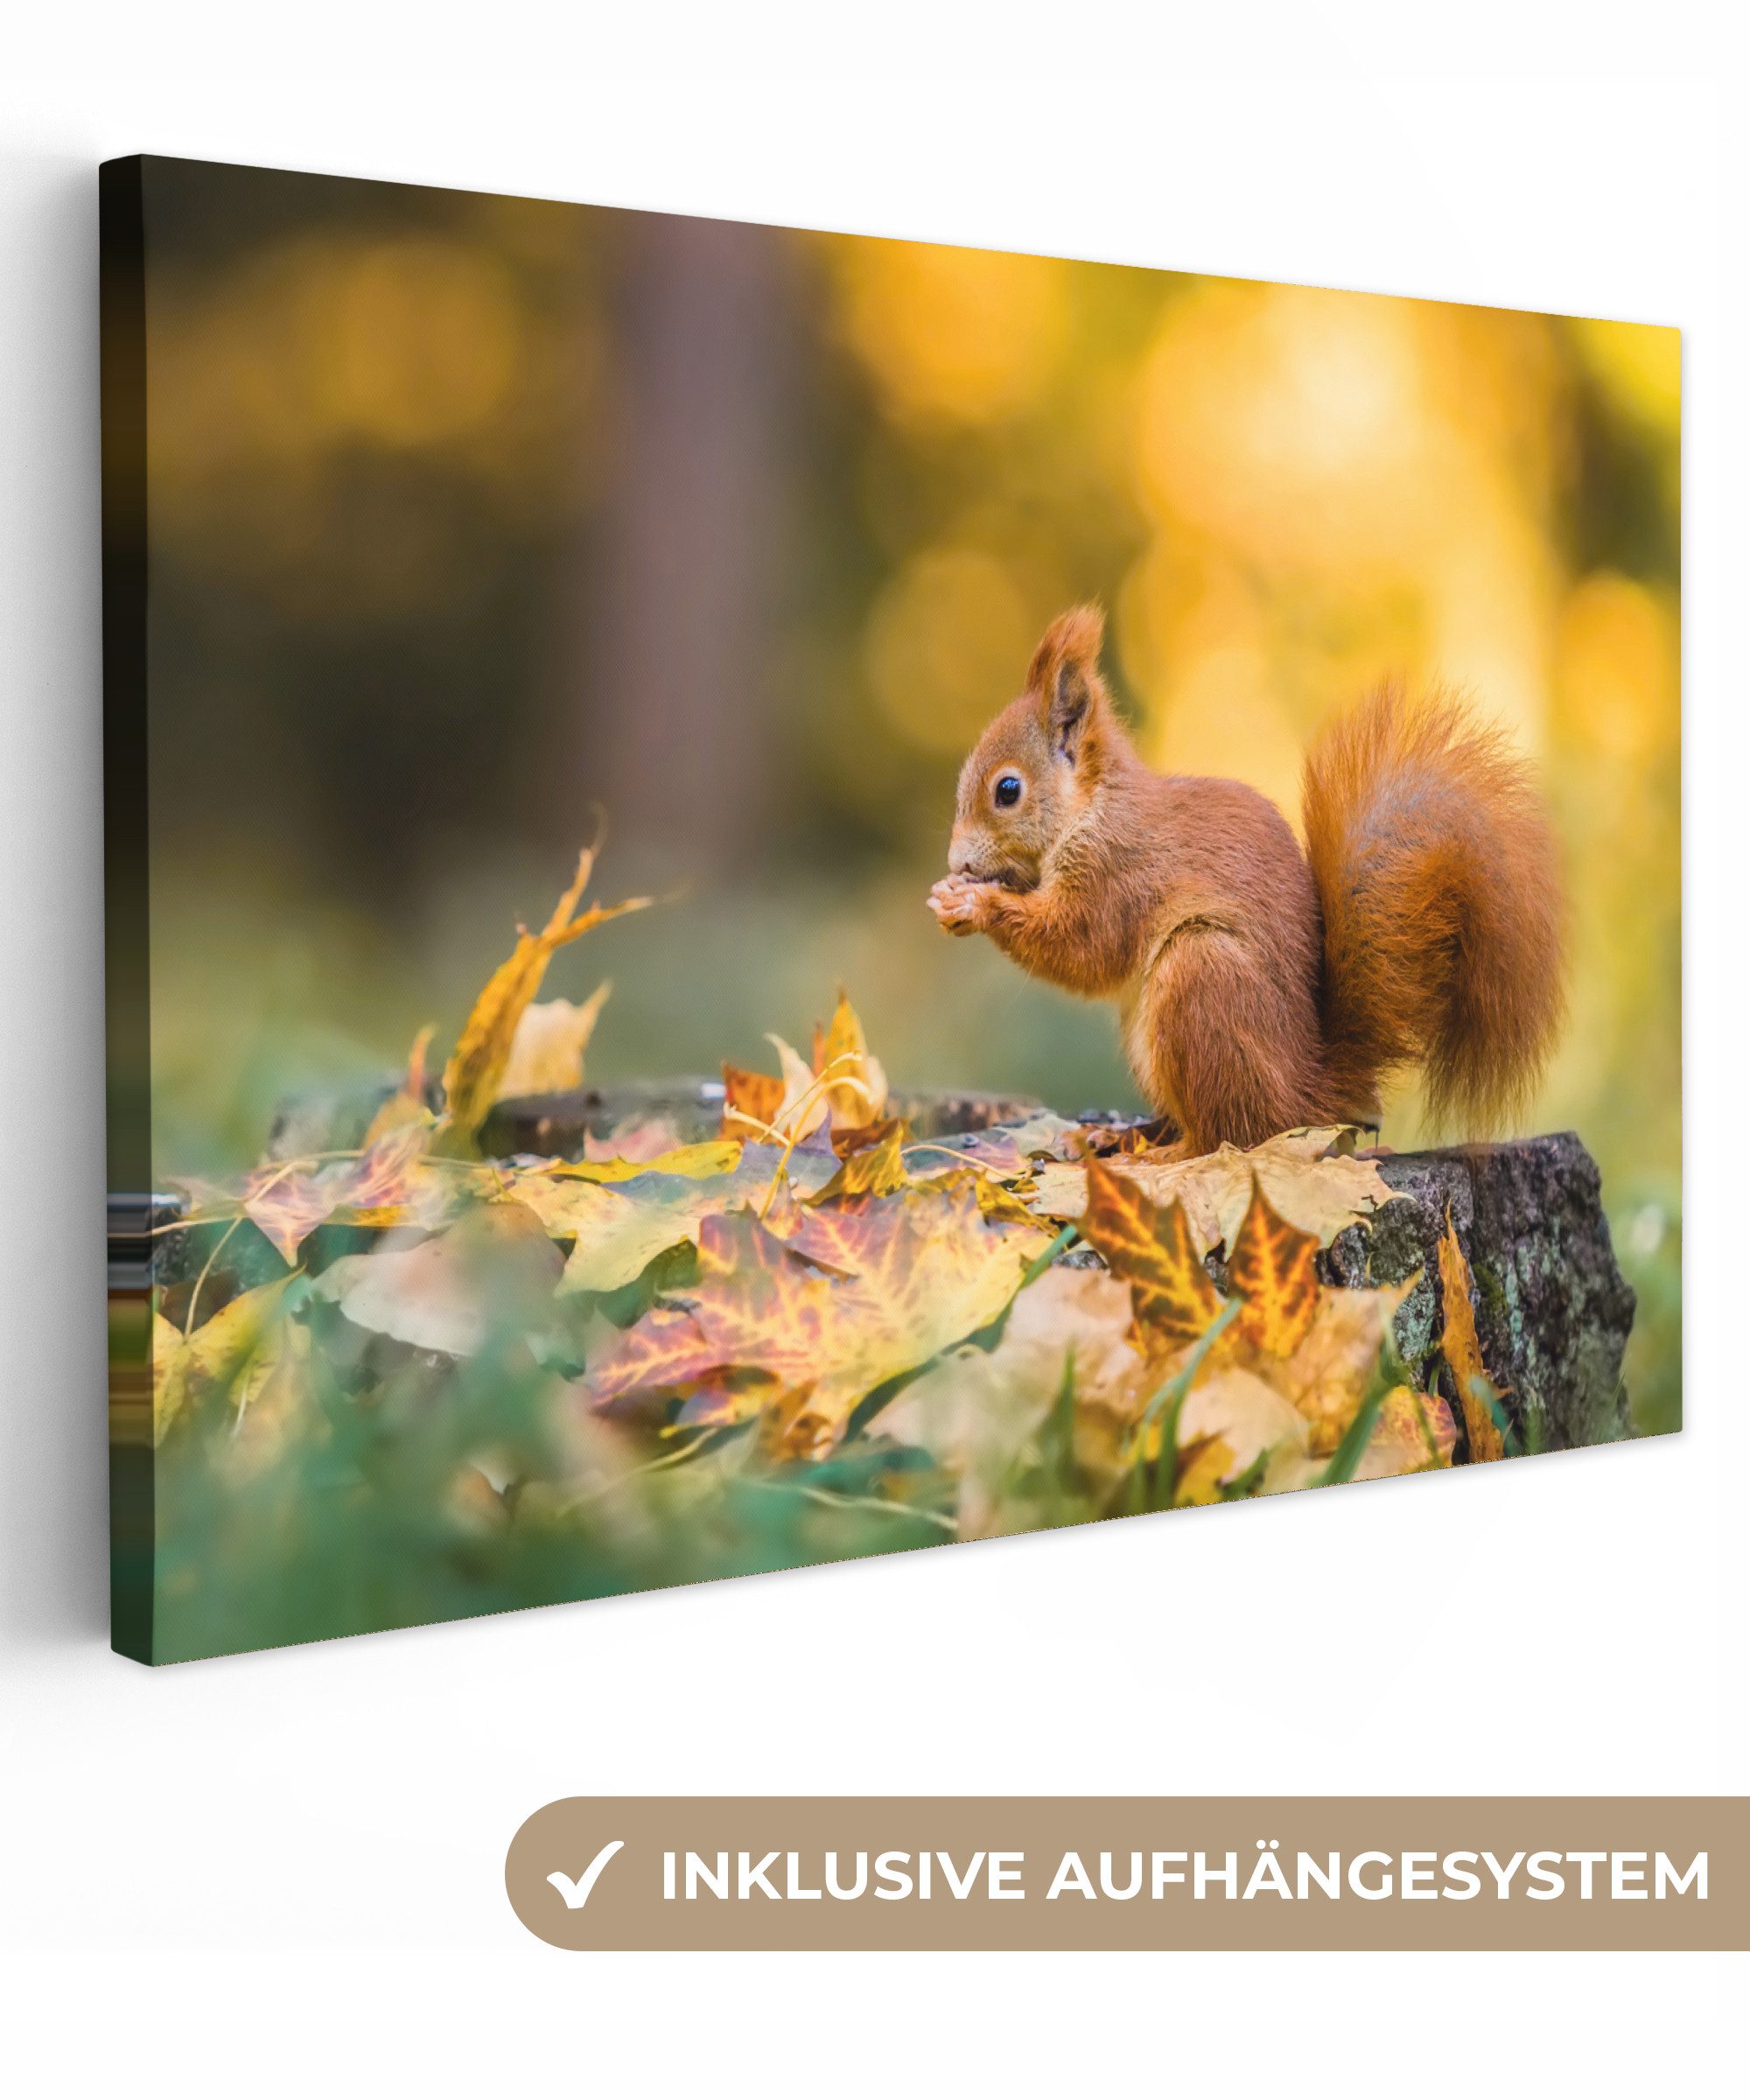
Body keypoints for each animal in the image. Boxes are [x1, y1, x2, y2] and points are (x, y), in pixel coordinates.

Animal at [927, 606, 1566, 1157]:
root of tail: (1309, 1094)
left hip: (1201, 979)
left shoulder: (1117, 872)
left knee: (1229, 1136)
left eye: (1008, 790)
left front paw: (976, 904)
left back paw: (1159, 1158)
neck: (1092, 809)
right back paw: (1124, 1136)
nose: (957, 862)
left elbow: (1081, 947)